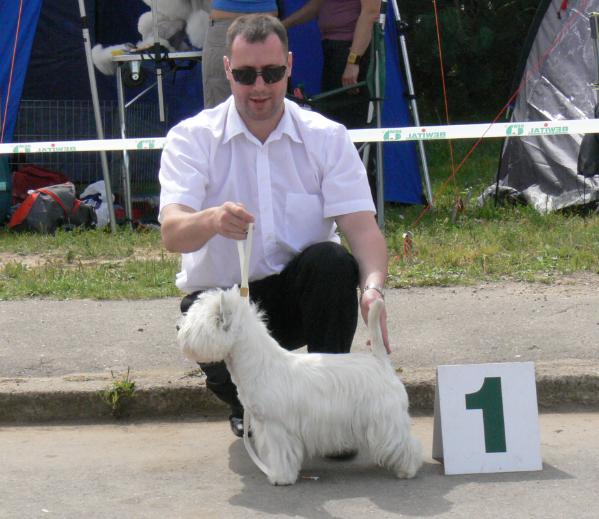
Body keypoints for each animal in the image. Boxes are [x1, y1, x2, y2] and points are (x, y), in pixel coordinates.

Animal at [178, 286, 422, 486]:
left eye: (195, 325)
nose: (179, 328)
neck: (260, 364)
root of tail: (380, 361)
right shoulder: (264, 425)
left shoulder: (277, 426)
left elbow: (281, 454)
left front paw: (280, 477)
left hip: (385, 417)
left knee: (403, 442)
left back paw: (407, 470)